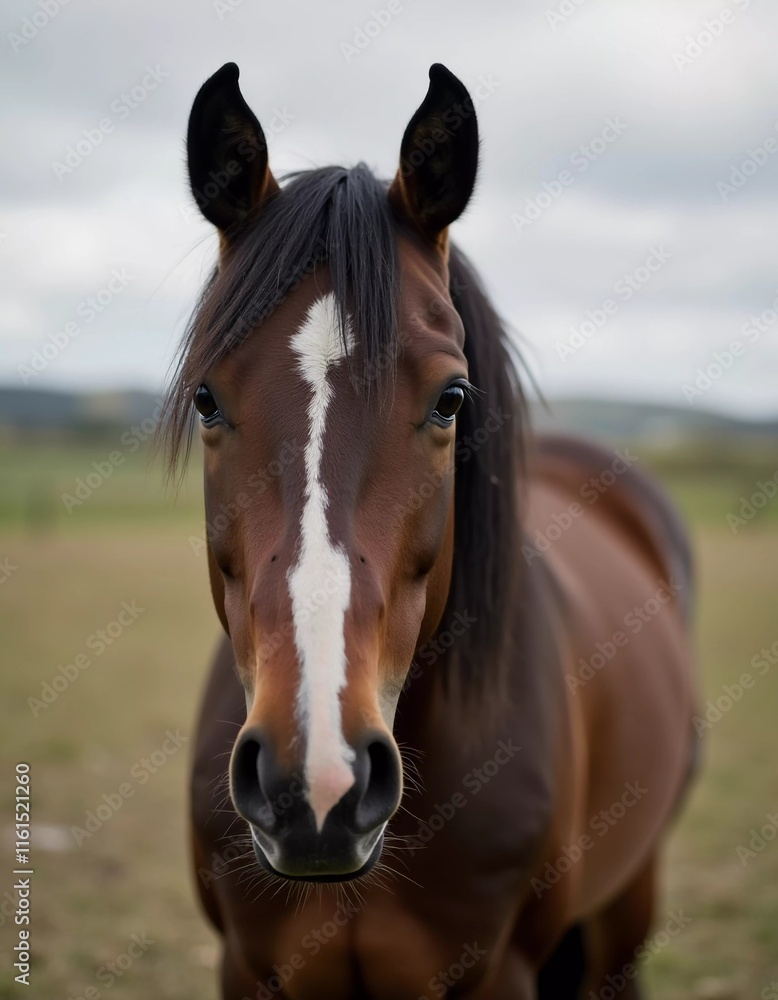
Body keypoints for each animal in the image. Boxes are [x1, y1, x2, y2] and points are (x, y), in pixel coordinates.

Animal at [163, 62, 697, 999]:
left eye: (450, 398)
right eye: (205, 397)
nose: (317, 784)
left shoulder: (500, 971)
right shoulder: (246, 968)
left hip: (627, 905)